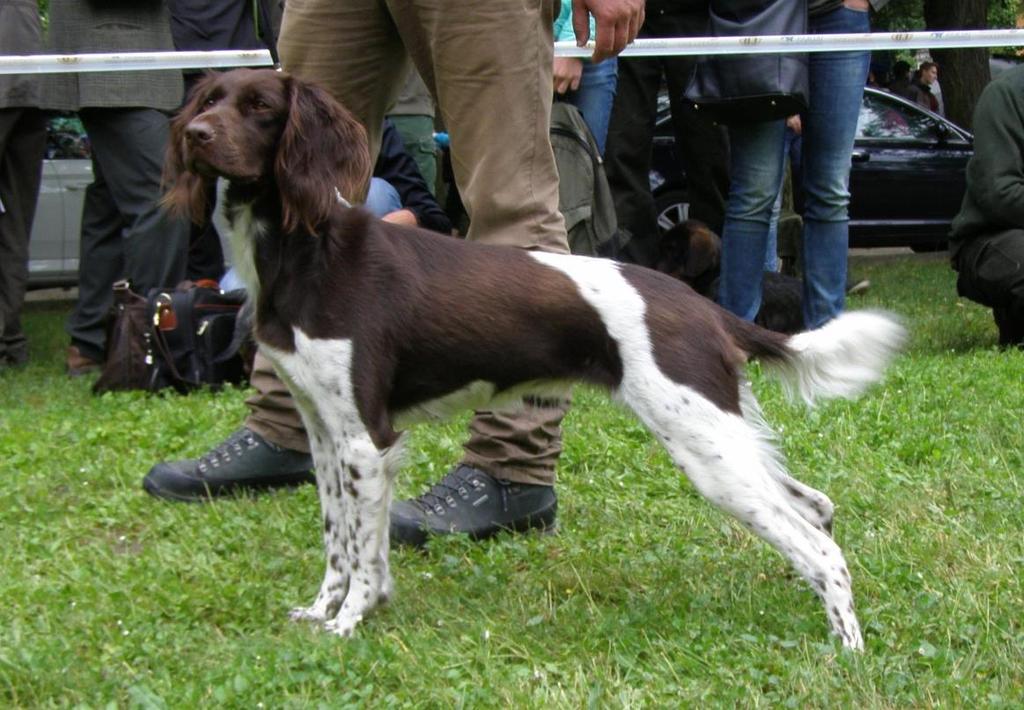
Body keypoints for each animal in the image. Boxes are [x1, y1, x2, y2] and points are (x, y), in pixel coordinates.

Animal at [163, 69, 909, 651]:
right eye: (209, 101)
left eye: (262, 107)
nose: (197, 136)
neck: (310, 249)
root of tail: (704, 305)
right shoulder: (323, 433)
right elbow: (337, 541)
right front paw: (322, 611)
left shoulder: (366, 440)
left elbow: (366, 555)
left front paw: (350, 622)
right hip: (724, 435)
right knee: (815, 507)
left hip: (706, 447)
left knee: (821, 547)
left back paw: (846, 651)